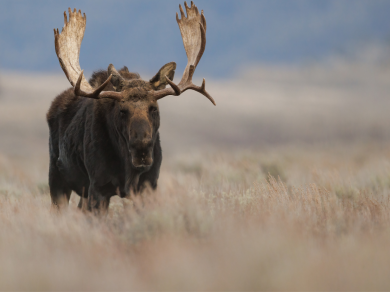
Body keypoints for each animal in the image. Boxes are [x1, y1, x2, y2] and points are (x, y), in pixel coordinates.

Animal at [48, 1, 216, 212]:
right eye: (122, 110)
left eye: (154, 108)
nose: (141, 149)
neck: (128, 170)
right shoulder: (98, 187)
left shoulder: (148, 186)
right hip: (57, 179)